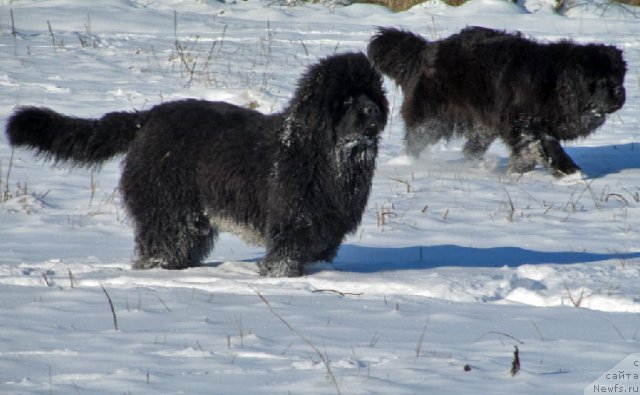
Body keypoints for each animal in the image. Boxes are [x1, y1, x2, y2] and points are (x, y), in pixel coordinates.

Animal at [5, 52, 388, 278]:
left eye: (372, 94)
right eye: (346, 99)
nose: (373, 112)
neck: (324, 156)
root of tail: (147, 119)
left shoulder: (327, 227)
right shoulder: (292, 221)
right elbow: (284, 255)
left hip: (189, 215)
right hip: (167, 207)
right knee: (162, 242)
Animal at [368, 26, 628, 178]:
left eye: (619, 76)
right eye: (601, 80)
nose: (620, 91)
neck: (555, 83)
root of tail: (427, 48)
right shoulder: (522, 121)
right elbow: (543, 143)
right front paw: (568, 172)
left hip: (484, 122)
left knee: (472, 148)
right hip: (434, 117)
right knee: (417, 138)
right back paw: (407, 164)